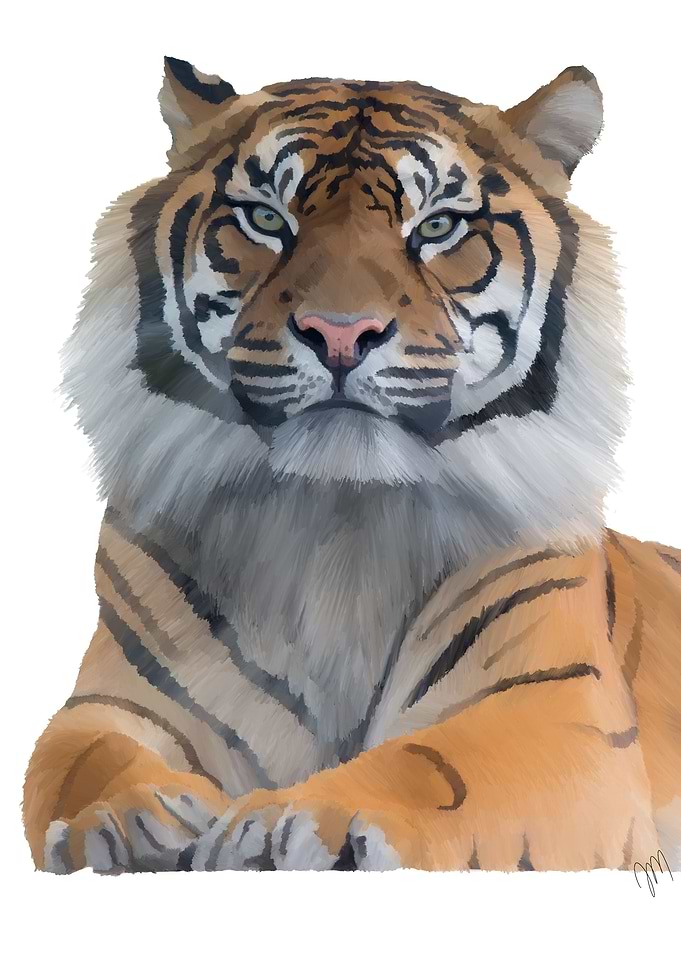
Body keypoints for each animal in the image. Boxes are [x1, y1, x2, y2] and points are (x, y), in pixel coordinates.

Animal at [23, 57, 681, 873]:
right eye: (266, 219)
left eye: (437, 227)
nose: (340, 334)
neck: (340, 514)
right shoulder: (109, 701)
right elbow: (85, 756)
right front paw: (131, 820)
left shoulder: (558, 708)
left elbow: (436, 764)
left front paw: (297, 820)